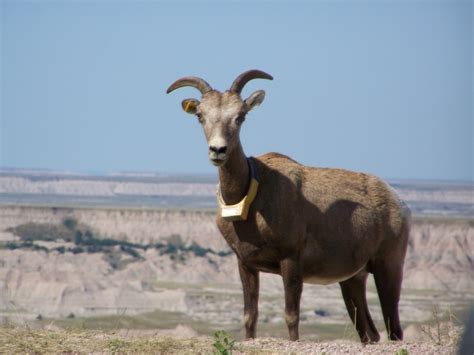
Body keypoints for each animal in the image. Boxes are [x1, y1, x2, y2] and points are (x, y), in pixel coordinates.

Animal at [168, 70, 412, 344]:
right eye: (200, 115)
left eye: (241, 116)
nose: (218, 150)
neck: (251, 197)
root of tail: (398, 203)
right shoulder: (246, 265)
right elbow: (250, 317)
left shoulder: (291, 261)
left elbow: (291, 316)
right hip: (352, 280)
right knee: (370, 333)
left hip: (387, 266)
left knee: (394, 329)